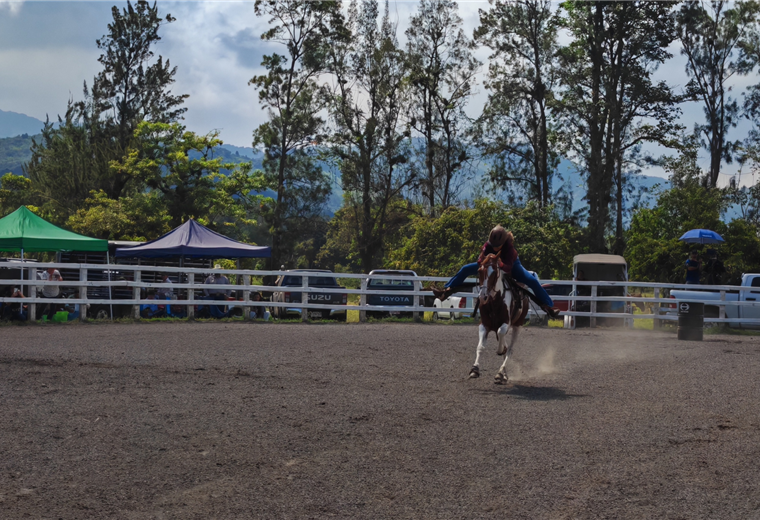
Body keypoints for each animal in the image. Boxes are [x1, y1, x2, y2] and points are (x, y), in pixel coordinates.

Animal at [470, 254, 528, 384]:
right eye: (479, 271)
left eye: (494, 272)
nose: (483, 296)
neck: (494, 301)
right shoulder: (484, 325)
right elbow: (480, 347)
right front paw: (474, 369)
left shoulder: (506, 323)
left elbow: (501, 335)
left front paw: (501, 349)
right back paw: (503, 374)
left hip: (518, 325)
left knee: (510, 350)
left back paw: (500, 373)